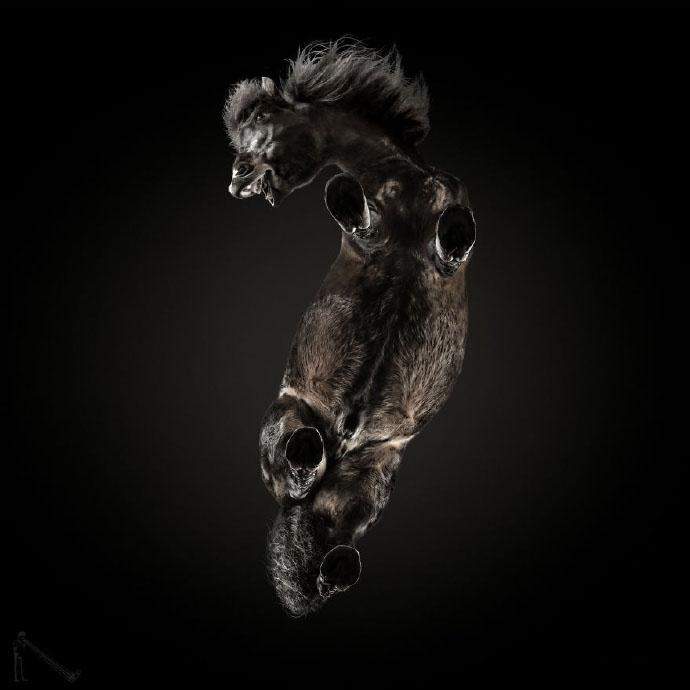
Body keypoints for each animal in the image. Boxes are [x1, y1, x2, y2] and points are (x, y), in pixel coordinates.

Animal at [224, 40, 476, 615]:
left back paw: (338, 563)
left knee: (332, 537)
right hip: (287, 419)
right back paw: (306, 456)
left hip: (371, 479)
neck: (406, 181)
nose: (237, 181)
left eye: (261, 124)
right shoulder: (366, 237)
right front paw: (347, 193)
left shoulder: (449, 241)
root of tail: (341, 442)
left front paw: (449, 232)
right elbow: (350, 202)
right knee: (294, 475)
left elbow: (454, 238)